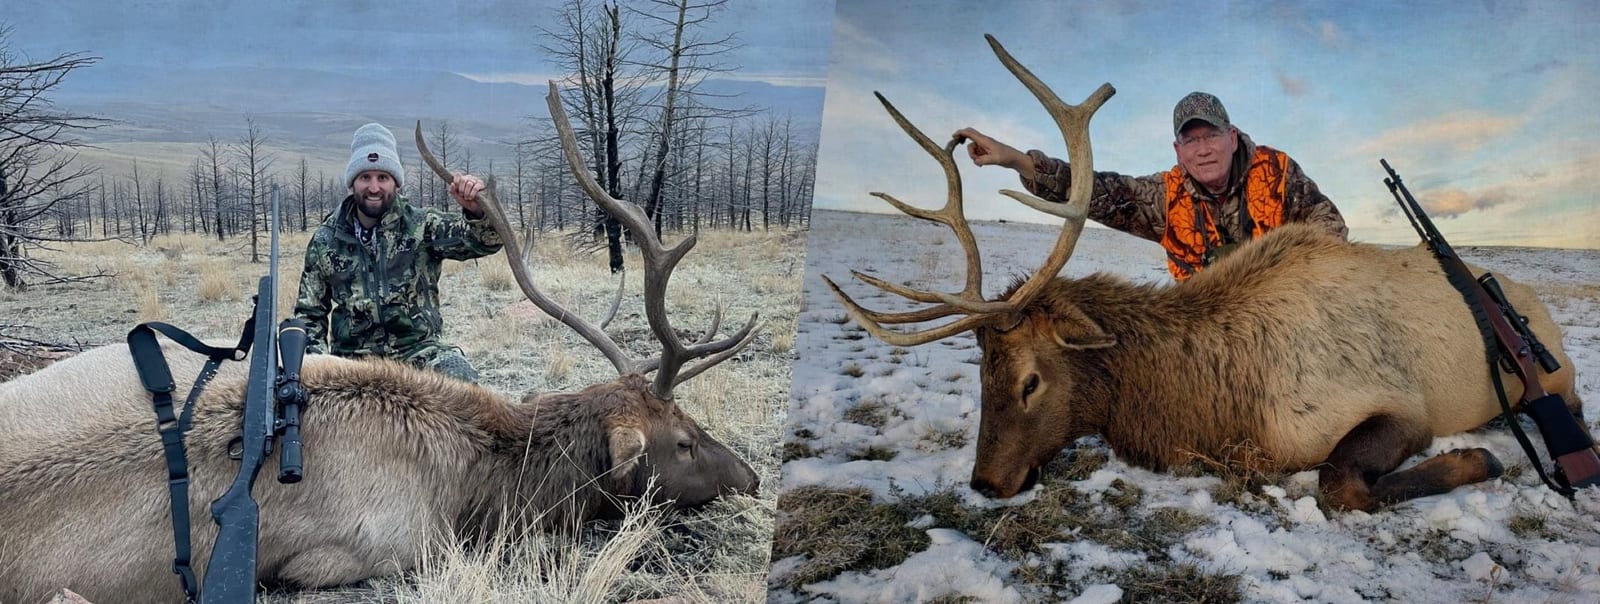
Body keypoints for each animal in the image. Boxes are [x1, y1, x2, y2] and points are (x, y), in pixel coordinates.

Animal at [825, 35, 1586, 513]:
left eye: (1030, 380)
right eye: (978, 370)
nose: (985, 483)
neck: (1213, 403)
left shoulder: (1400, 406)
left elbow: (1339, 483)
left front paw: (1481, 461)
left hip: (1555, 374)